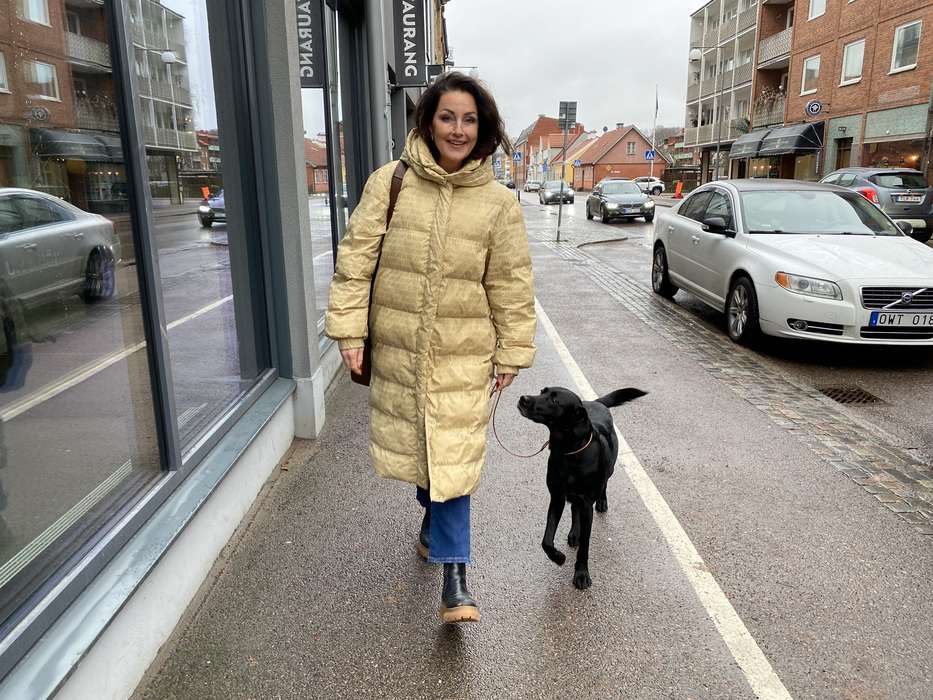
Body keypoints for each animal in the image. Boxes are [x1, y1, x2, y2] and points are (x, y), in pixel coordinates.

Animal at [517, 386, 647, 590]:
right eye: (542, 391)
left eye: (555, 401)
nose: (523, 399)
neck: (568, 452)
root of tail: (596, 402)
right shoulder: (557, 497)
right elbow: (546, 541)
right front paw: (558, 557)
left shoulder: (587, 505)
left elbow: (585, 546)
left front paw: (581, 574)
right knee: (574, 507)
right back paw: (574, 533)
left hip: (608, 469)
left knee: (604, 484)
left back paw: (602, 502)